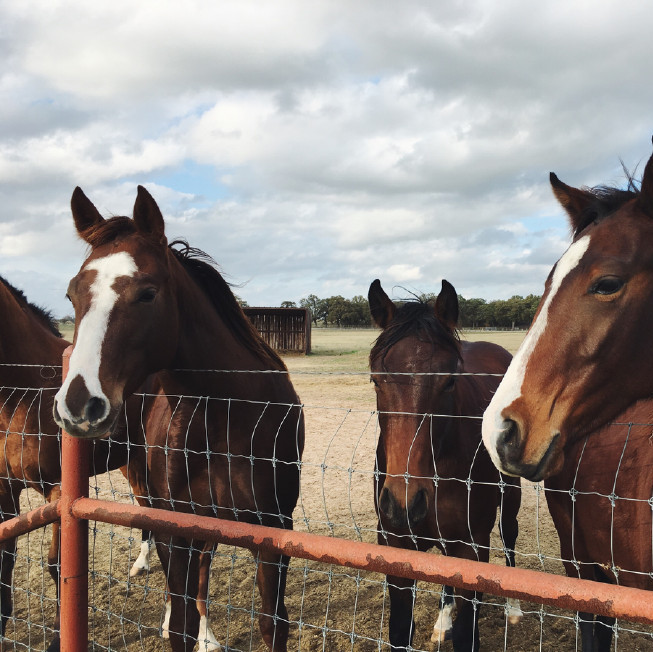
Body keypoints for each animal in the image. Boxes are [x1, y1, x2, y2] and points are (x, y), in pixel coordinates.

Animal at [52, 186, 304, 648]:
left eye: (148, 293)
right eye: (72, 294)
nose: (79, 404)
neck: (230, 417)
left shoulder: (274, 536)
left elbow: (272, 624)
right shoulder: (178, 530)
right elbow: (180, 624)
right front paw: (182, 624)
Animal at [370, 278, 524, 652]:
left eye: (450, 380)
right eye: (376, 380)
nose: (404, 503)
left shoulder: (472, 548)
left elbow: (469, 634)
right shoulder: (396, 547)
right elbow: (400, 632)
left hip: (510, 496)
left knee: (509, 534)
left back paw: (513, 608)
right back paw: (443, 619)